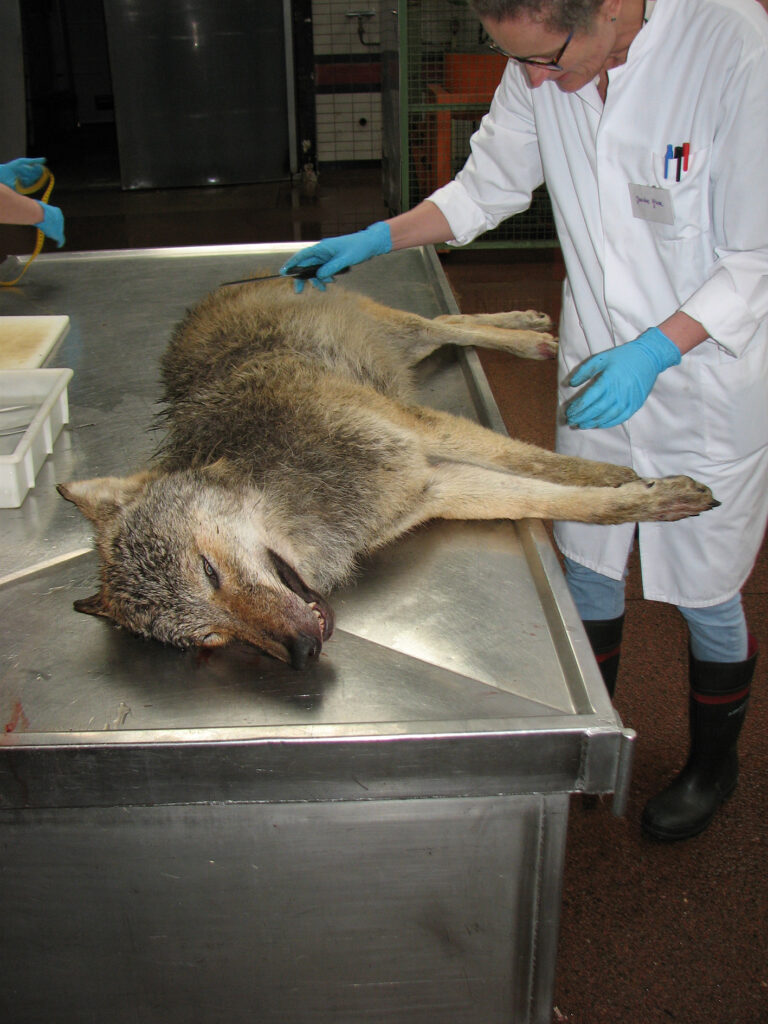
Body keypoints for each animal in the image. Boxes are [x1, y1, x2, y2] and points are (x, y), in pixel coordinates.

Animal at [58, 279, 717, 668]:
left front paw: (630, 479)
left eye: (209, 570)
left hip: (395, 332)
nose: (301, 652)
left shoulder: (426, 431)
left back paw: (525, 331)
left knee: (447, 322)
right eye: (211, 640)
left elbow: (543, 463)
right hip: (398, 350)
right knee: (445, 322)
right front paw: (641, 497)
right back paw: (525, 329)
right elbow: (546, 497)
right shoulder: (437, 487)